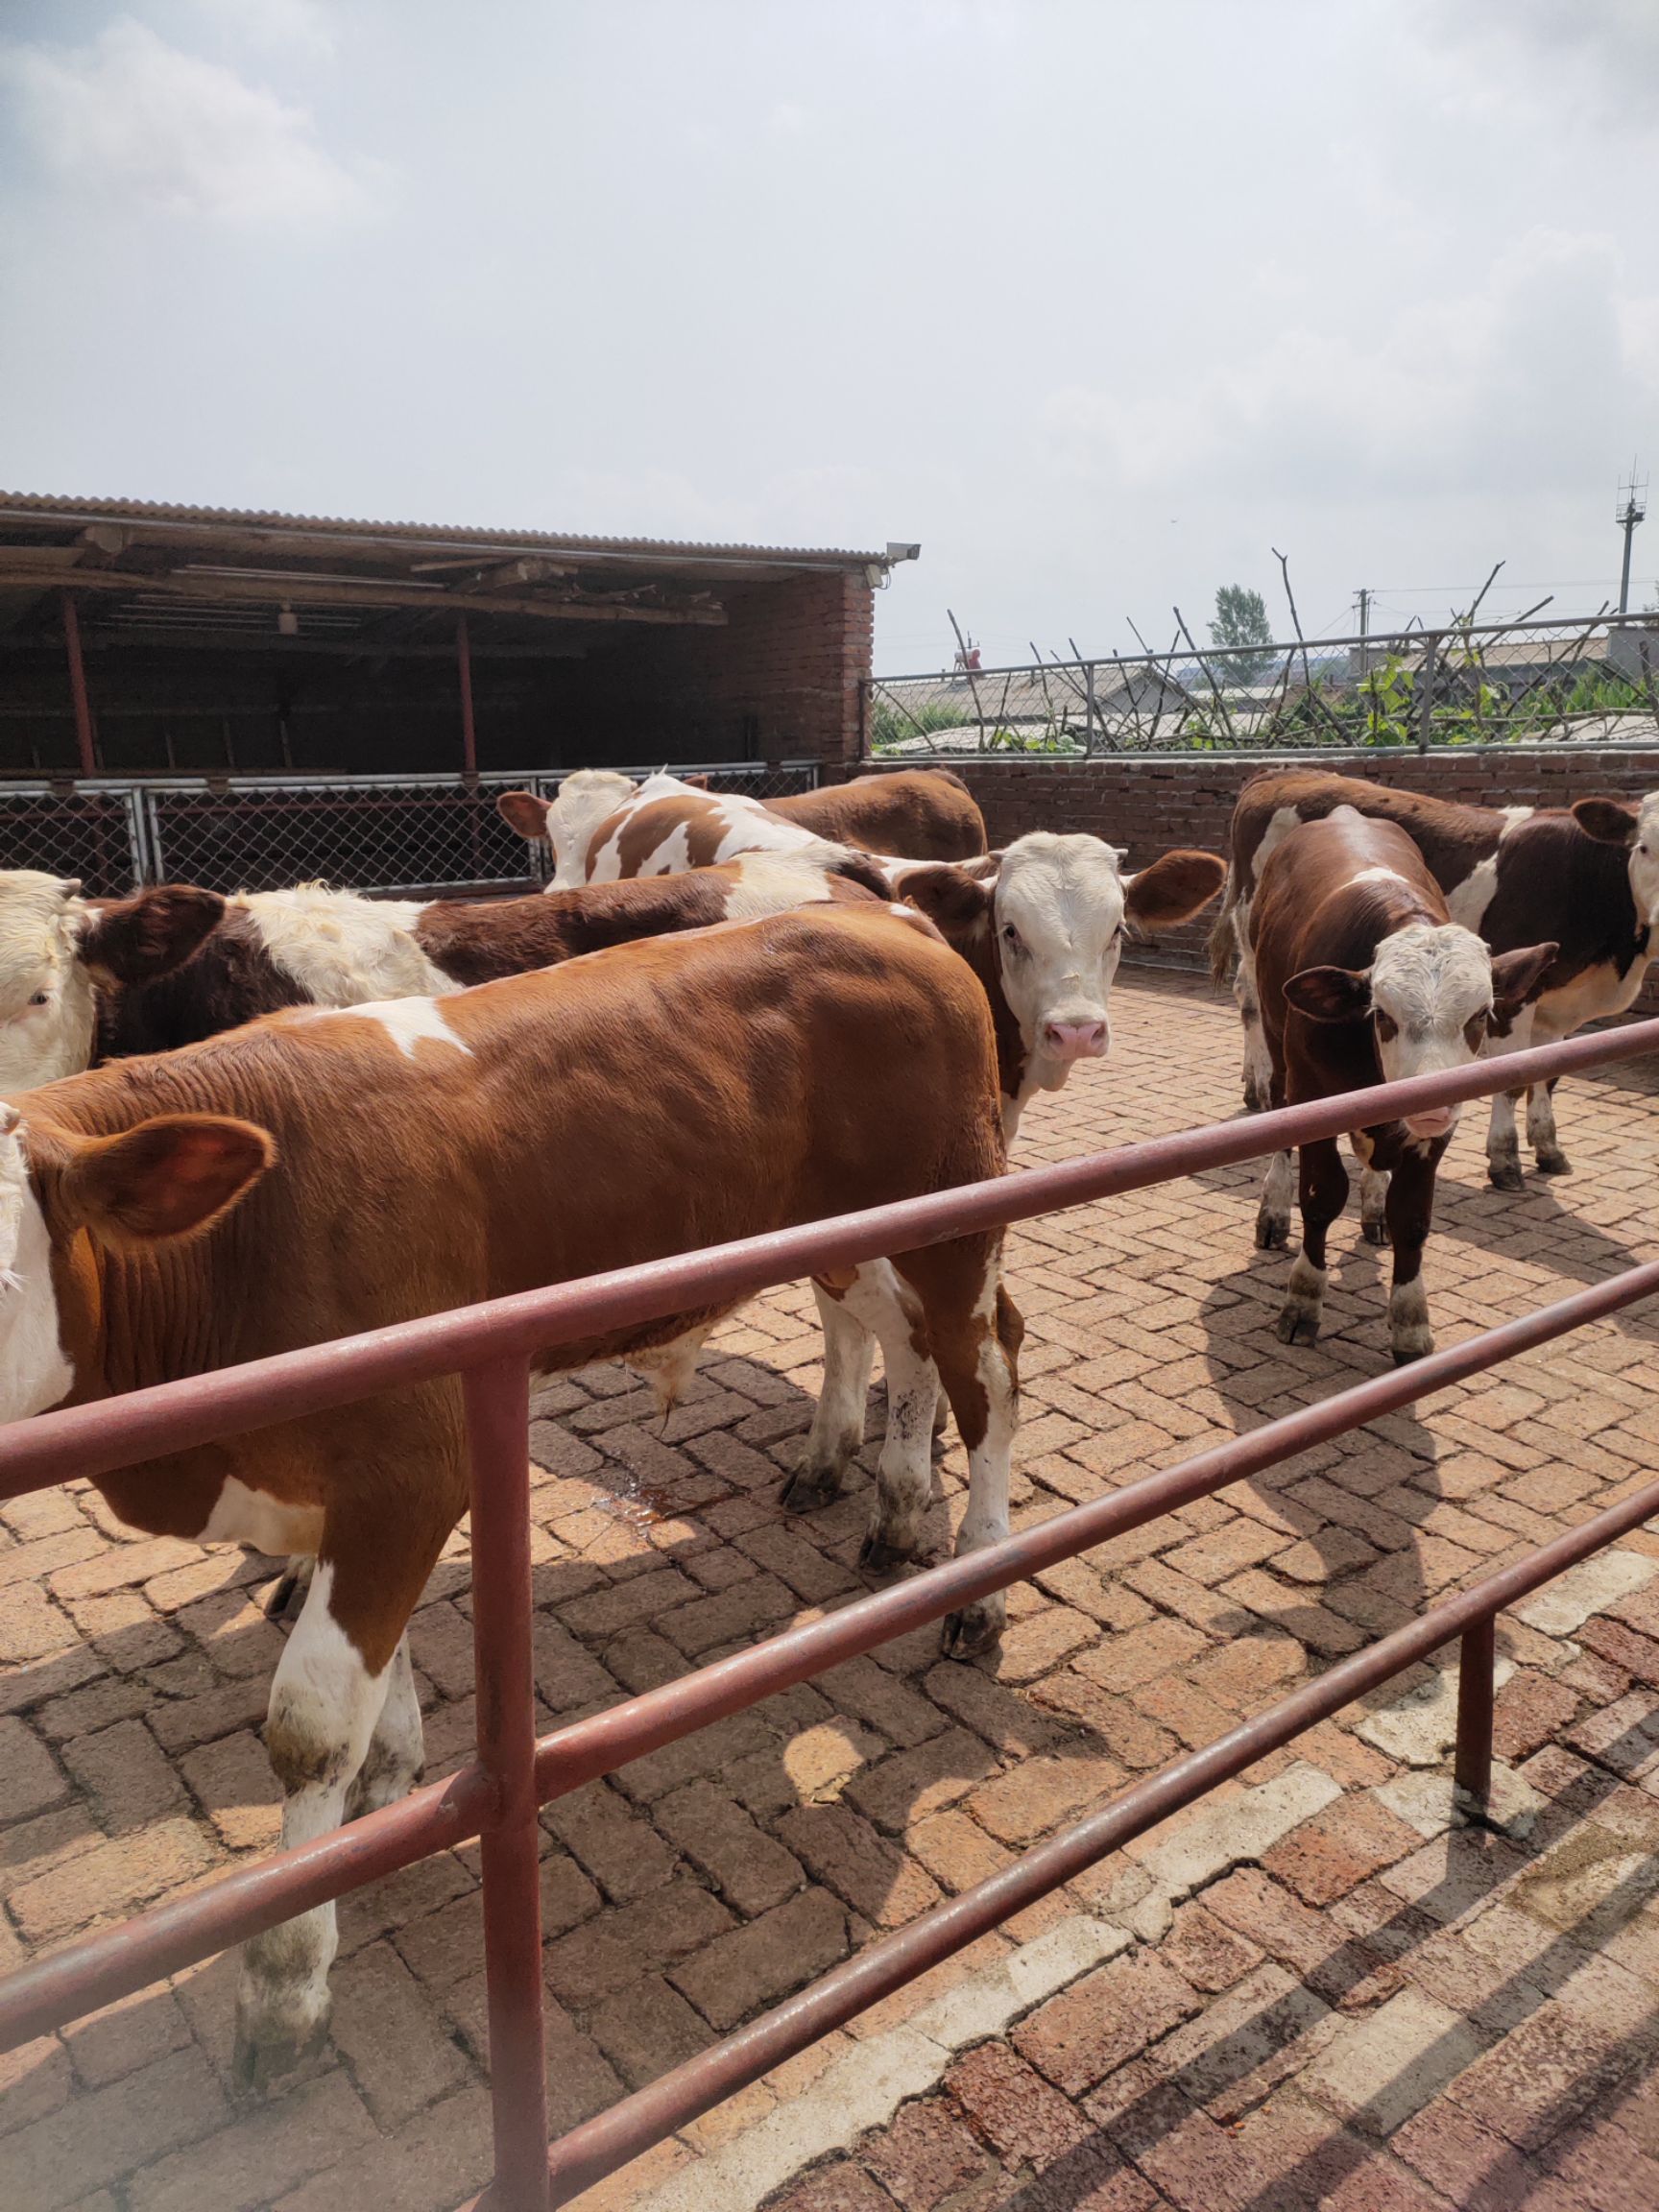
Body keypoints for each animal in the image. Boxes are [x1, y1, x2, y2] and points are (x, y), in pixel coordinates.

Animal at [0, 898, 1022, 2087]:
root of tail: (876, 909)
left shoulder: (411, 1467)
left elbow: (310, 1726)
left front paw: (286, 1986)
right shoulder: (348, 1499)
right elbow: (375, 1676)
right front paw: (387, 1795)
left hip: (954, 1221)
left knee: (990, 1370)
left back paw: (981, 1583)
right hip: (850, 1239)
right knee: (903, 1348)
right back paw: (897, 1514)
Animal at [1212, 774, 1659, 1194]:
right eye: (1644, 848)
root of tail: (1281, 773)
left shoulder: (1558, 1005)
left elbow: (1546, 1075)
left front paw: (1548, 1147)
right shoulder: (1514, 1000)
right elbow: (1512, 1081)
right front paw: (1505, 1160)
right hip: (1250, 931)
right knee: (1250, 1001)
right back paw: (1258, 1084)